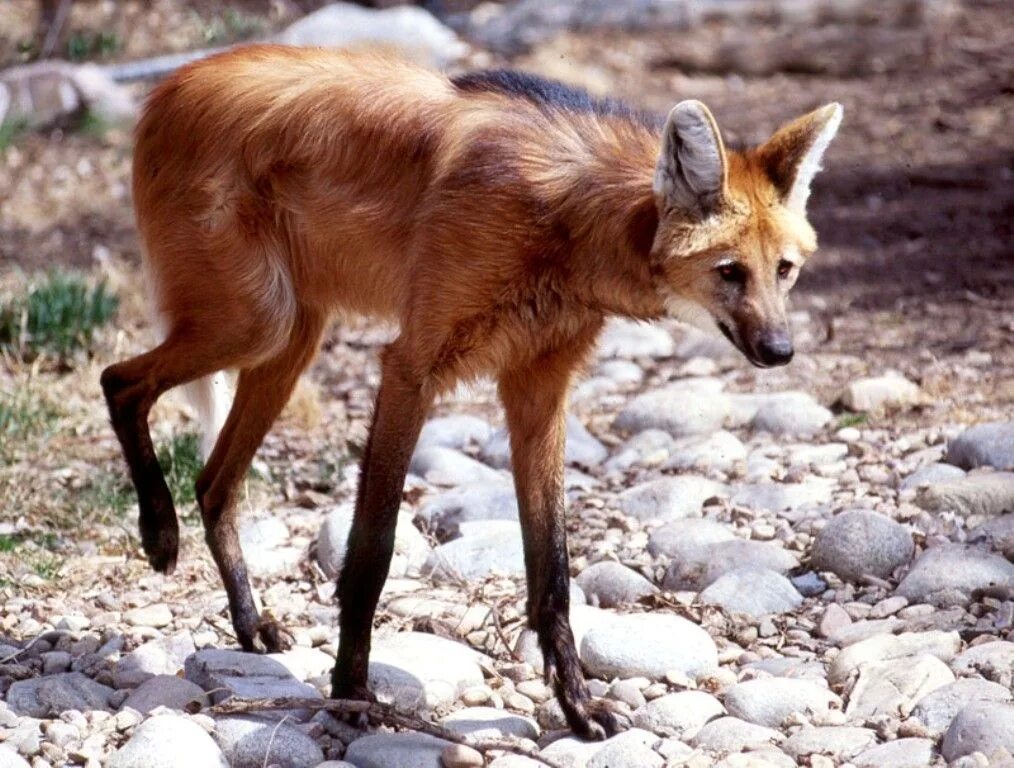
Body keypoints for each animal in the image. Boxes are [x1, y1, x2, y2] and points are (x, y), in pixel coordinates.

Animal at [102, 43, 843, 738]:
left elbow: (553, 570)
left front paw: (579, 707)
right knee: (120, 382)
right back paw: (160, 535)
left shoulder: (539, 388)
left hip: (290, 339)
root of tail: (171, 85)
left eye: (784, 270)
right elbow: (372, 550)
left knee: (213, 481)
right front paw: (351, 692)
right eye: (729, 272)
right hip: (256, 322)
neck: (569, 225)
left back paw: (249, 623)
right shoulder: (412, 367)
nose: (780, 351)